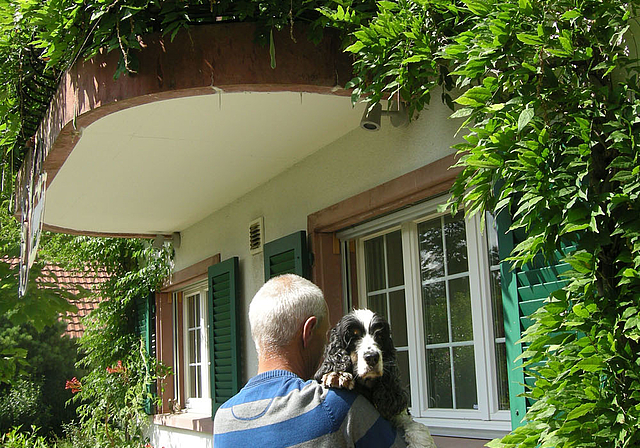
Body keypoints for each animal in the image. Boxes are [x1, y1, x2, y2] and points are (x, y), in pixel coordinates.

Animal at [316, 310, 438, 446]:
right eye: (353, 336)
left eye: (379, 336)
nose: (372, 357)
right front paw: (338, 374)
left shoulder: (400, 413)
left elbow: (415, 426)